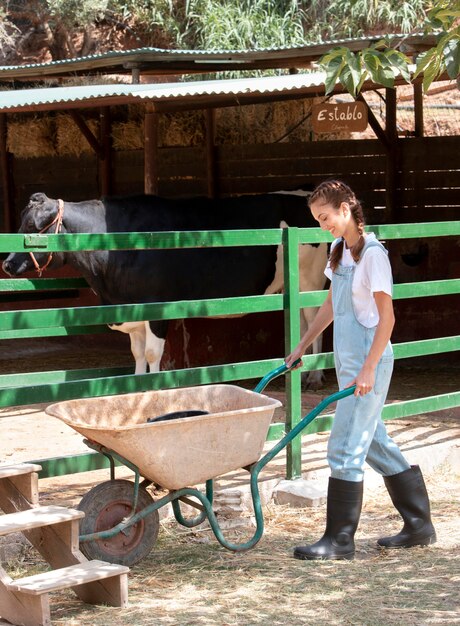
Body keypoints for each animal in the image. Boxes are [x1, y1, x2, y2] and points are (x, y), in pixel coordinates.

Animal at [2, 190, 328, 386]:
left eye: (31, 228)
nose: (7, 264)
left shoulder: (157, 307)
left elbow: (150, 354)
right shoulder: (130, 310)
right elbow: (136, 354)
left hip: (312, 281)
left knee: (317, 321)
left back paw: (315, 376)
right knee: (303, 321)